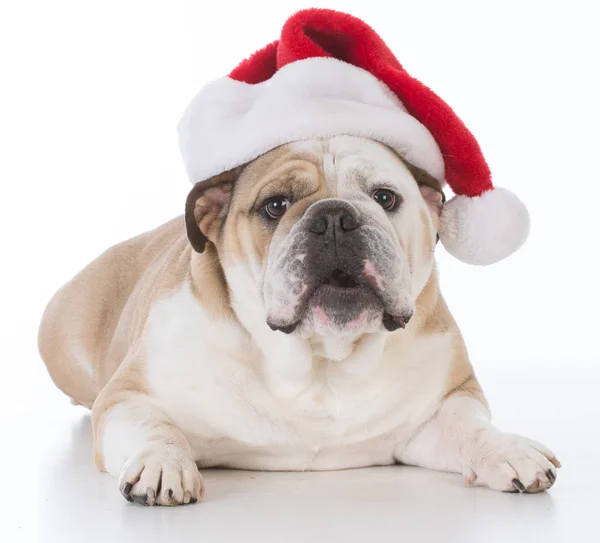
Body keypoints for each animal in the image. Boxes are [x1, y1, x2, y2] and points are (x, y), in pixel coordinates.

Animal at [38, 136, 556, 506]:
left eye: (385, 197)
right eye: (275, 205)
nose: (334, 217)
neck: (320, 358)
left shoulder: (441, 405)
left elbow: (470, 425)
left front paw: (508, 449)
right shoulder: (129, 395)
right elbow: (154, 426)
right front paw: (161, 463)